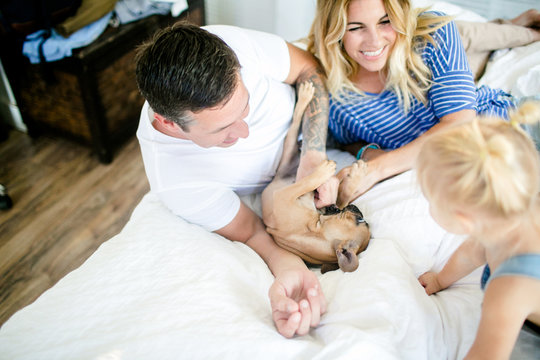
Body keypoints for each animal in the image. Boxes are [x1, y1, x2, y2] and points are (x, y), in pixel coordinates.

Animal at [262, 82, 372, 272]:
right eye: (361, 220)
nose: (357, 209)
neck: (315, 229)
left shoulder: (283, 196)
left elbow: (309, 183)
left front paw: (329, 172)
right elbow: (341, 194)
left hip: (287, 151)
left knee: (294, 125)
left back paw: (304, 96)